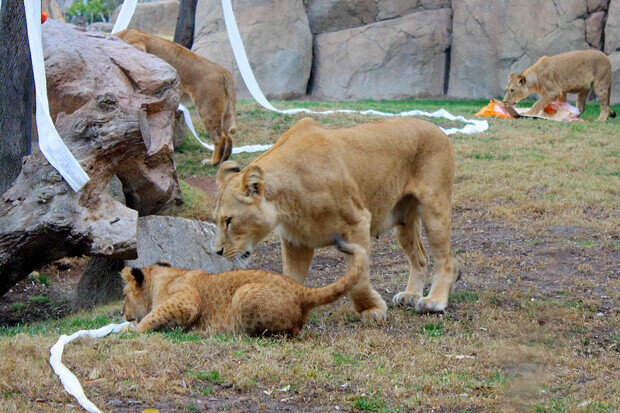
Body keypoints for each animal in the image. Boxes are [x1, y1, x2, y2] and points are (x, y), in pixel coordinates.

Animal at [114, 28, 237, 166]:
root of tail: (222, 70)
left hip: (207, 107)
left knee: (220, 137)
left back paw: (213, 162)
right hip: (224, 109)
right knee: (228, 135)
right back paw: (224, 160)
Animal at [121, 235, 368, 334]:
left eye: (124, 295)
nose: (122, 313)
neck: (166, 276)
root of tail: (301, 290)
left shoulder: (188, 299)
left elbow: (155, 314)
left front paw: (130, 330)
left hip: (243, 293)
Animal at [216, 116, 458, 318]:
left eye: (229, 221)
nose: (217, 252)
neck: (284, 202)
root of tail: (437, 128)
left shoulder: (357, 222)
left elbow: (359, 281)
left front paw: (371, 310)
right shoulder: (296, 241)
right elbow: (290, 278)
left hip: (434, 206)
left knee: (446, 259)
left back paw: (434, 301)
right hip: (403, 220)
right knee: (420, 256)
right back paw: (411, 295)